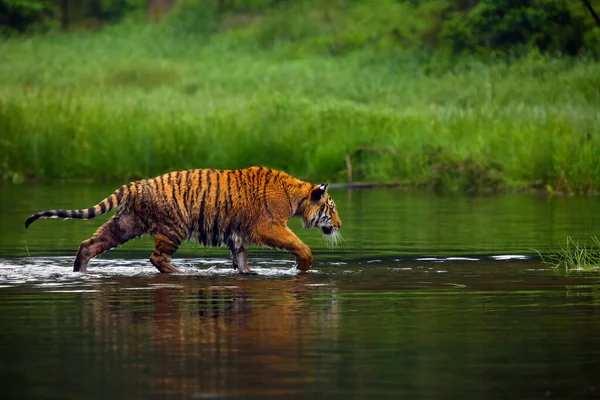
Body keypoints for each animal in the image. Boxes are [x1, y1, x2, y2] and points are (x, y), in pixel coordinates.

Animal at [24, 166, 342, 276]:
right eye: (332, 208)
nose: (339, 225)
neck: (297, 197)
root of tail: (136, 184)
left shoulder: (238, 235)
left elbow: (241, 260)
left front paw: (249, 273)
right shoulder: (269, 226)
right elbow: (299, 245)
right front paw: (302, 266)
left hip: (125, 224)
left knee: (89, 244)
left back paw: (79, 271)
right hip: (173, 228)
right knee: (156, 258)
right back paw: (182, 273)